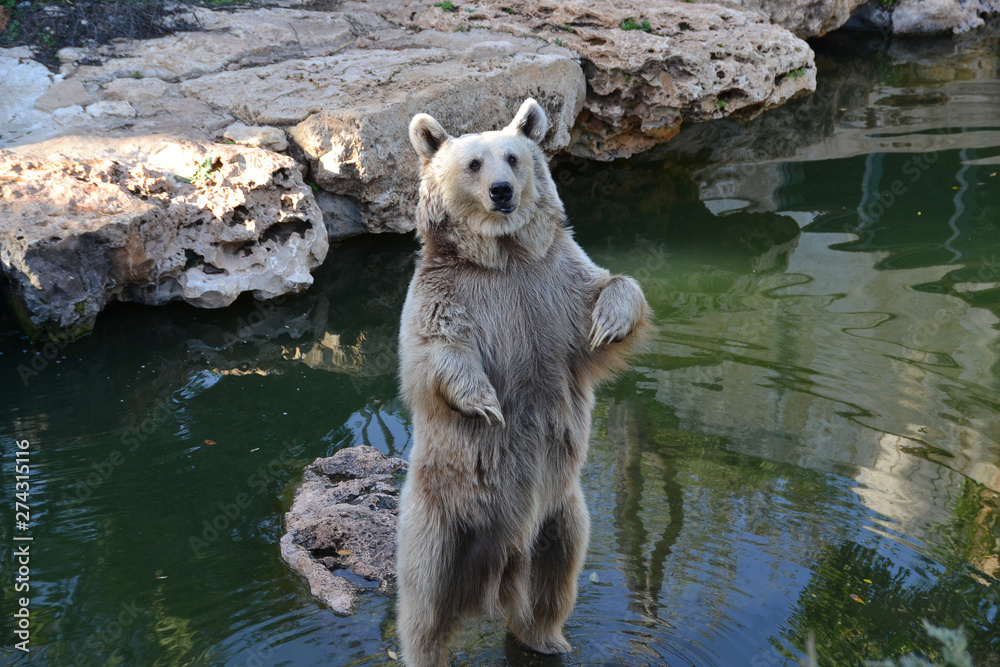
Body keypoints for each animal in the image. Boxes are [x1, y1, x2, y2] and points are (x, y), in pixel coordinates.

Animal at [395, 98, 651, 666]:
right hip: (442, 513)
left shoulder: (551, 282)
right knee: (426, 599)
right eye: (473, 163)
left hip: (559, 507)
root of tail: (497, 570)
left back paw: (546, 637)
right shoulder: (450, 292)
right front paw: (486, 404)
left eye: (512, 157)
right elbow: (439, 352)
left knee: (554, 573)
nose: (502, 191)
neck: (504, 257)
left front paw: (610, 320)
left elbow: (608, 290)